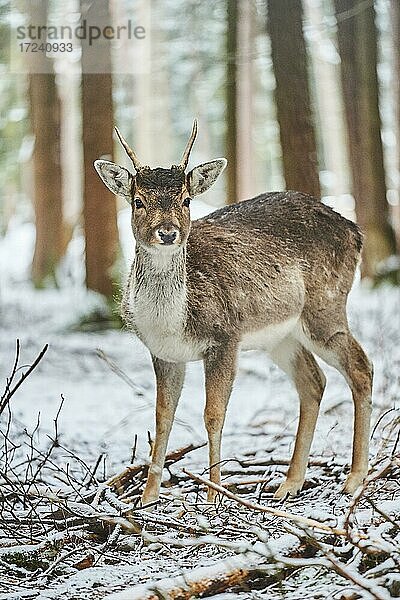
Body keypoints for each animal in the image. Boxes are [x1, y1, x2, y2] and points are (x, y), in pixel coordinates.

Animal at [94, 119, 372, 504]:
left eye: (186, 199)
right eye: (138, 201)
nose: (168, 232)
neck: (173, 322)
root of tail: (356, 231)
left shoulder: (225, 337)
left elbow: (213, 414)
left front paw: (213, 495)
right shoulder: (164, 353)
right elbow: (162, 416)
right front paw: (147, 498)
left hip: (325, 307)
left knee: (360, 366)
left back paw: (355, 478)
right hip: (282, 336)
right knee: (313, 382)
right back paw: (289, 483)